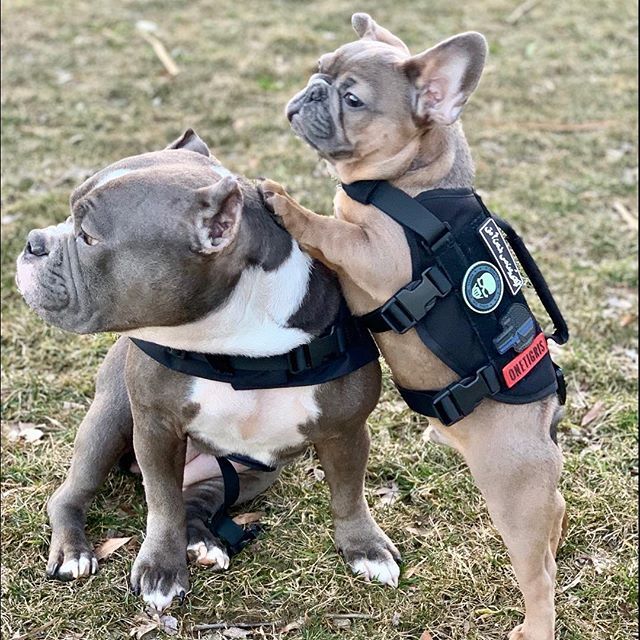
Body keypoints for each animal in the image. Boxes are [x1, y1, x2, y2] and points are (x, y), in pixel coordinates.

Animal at [16, 129, 400, 608]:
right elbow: (162, 505)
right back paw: (73, 551)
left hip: (251, 472)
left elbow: (349, 493)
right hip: (111, 418)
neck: (238, 348)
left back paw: (203, 541)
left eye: (87, 237)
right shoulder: (156, 426)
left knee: (194, 502)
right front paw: (161, 569)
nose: (33, 241)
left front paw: (365, 547)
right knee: (73, 493)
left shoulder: (345, 432)